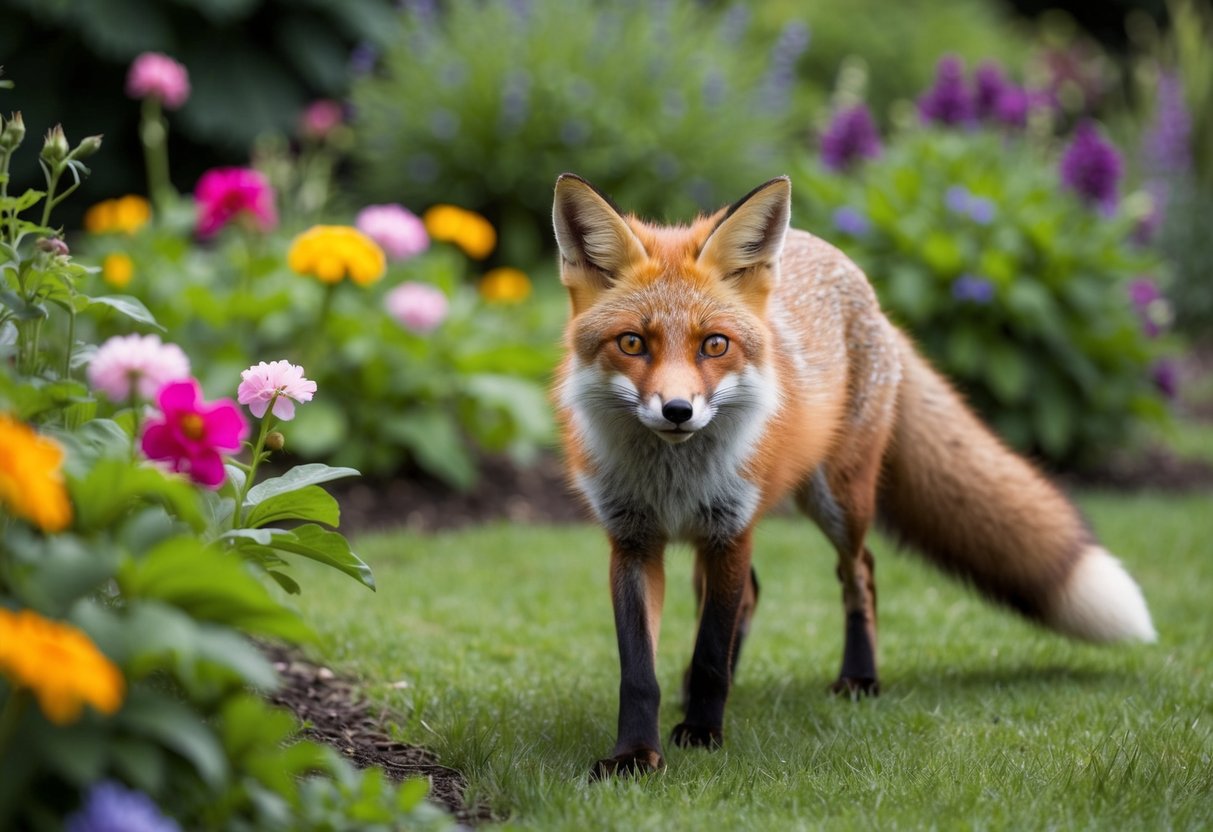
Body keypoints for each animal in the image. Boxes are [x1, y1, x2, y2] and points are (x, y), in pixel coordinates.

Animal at [551, 173, 1157, 781]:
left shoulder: (731, 530)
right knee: (755, 592)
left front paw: (702, 732)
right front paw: (635, 755)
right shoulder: (634, 541)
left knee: (859, 571)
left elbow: (710, 653)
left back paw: (859, 678)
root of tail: (861, 282)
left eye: (714, 344)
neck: (672, 479)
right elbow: (639, 671)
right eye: (632, 343)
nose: (678, 411)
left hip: (838, 500)